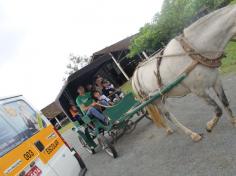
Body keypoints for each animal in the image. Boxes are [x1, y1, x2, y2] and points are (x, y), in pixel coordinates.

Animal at [132, 4, 236, 142]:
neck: (195, 50)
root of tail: (135, 74)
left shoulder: (216, 81)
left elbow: (225, 103)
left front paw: (234, 122)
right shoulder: (198, 91)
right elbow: (218, 110)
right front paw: (209, 126)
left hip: (158, 98)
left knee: (163, 115)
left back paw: (169, 129)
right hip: (156, 99)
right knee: (167, 114)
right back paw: (192, 134)